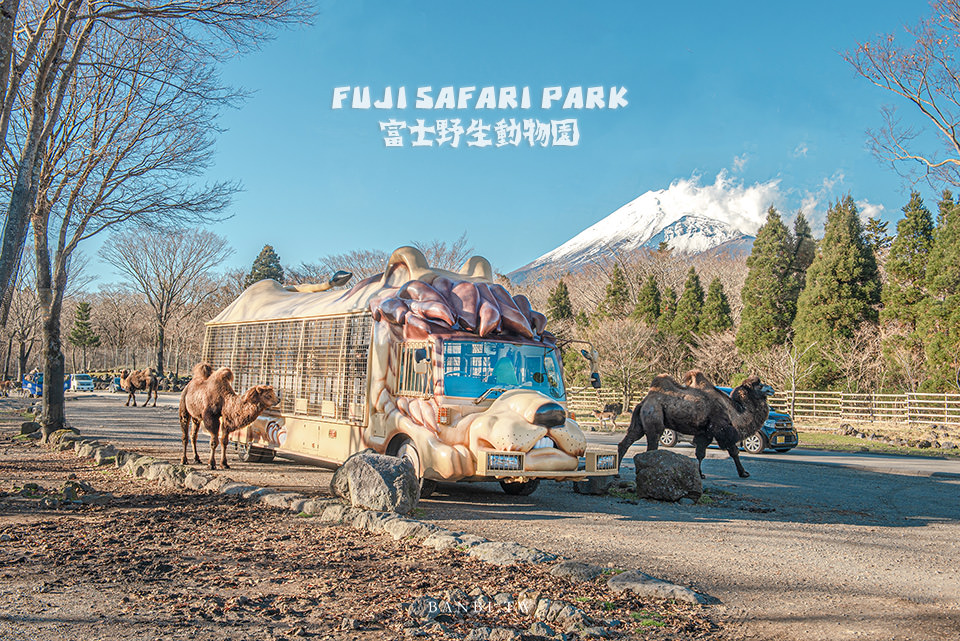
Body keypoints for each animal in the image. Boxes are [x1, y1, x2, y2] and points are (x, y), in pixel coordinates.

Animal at [624, 368, 772, 478]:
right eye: (760, 385)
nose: (771, 389)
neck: (734, 412)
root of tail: (644, 402)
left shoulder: (705, 433)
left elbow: (700, 453)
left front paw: (700, 474)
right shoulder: (722, 429)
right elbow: (734, 451)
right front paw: (744, 473)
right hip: (654, 419)